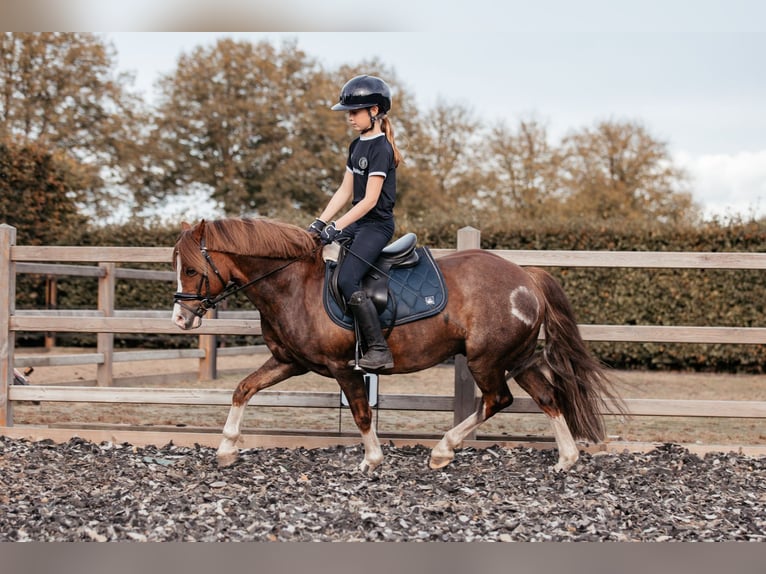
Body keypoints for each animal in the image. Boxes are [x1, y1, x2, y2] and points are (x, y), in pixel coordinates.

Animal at [172, 218, 624, 474]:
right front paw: (226, 450)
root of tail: (527, 276)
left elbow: (360, 413)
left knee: (499, 400)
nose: (181, 319)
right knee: (547, 397)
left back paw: (443, 450)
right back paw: (566, 459)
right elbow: (243, 389)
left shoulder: (343, 366)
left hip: (487, 359)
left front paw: (372, 461)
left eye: (191, 269)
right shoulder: (289, 362)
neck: (295, 284)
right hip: (519, 357)